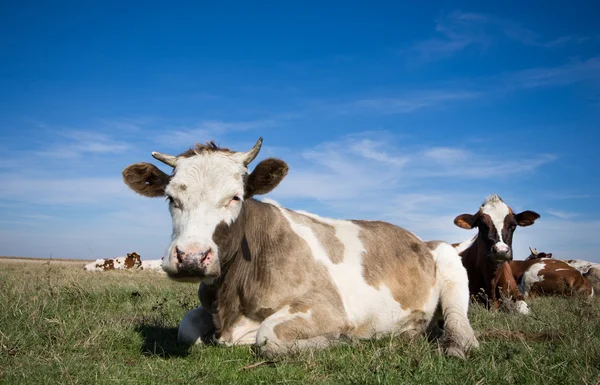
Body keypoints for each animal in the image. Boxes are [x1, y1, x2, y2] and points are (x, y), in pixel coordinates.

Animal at [122, 136, 478, 356]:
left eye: (236, 197)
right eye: (171, 198)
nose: (192, 258)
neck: (232, 298)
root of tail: (417, 238)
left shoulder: (326, 307)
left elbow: (268, 337)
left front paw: (343, 340)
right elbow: (186, 327)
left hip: (449, 260)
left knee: (460, 325)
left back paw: (453, 345)